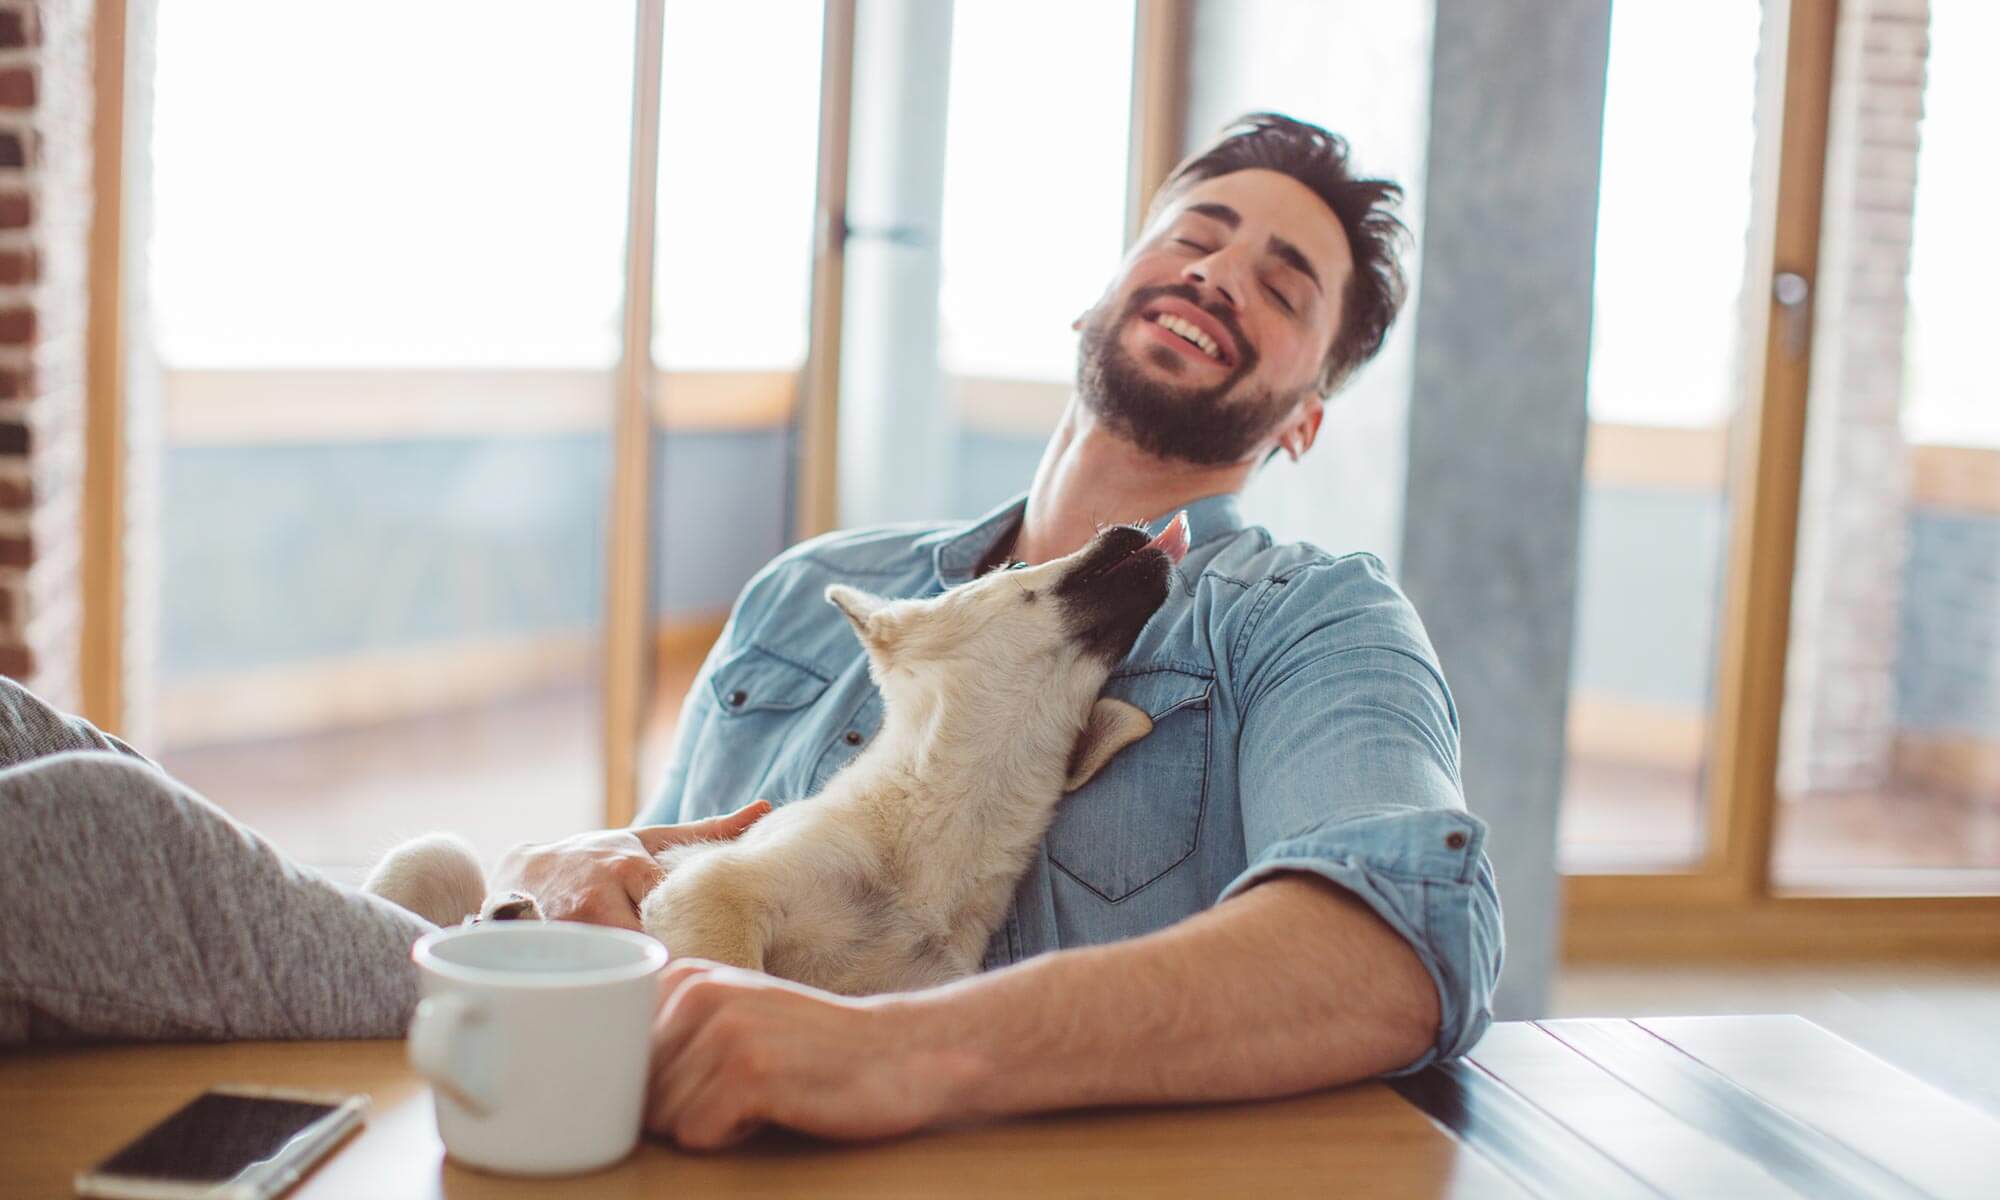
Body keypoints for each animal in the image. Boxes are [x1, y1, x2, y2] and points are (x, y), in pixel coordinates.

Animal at [366, 516, 1184, 992]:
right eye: (1012, 571)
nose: (1130, 523)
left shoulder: (908, 994)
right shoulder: (713, 891)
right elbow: (732, 973)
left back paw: (511, 917)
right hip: (434, 855)